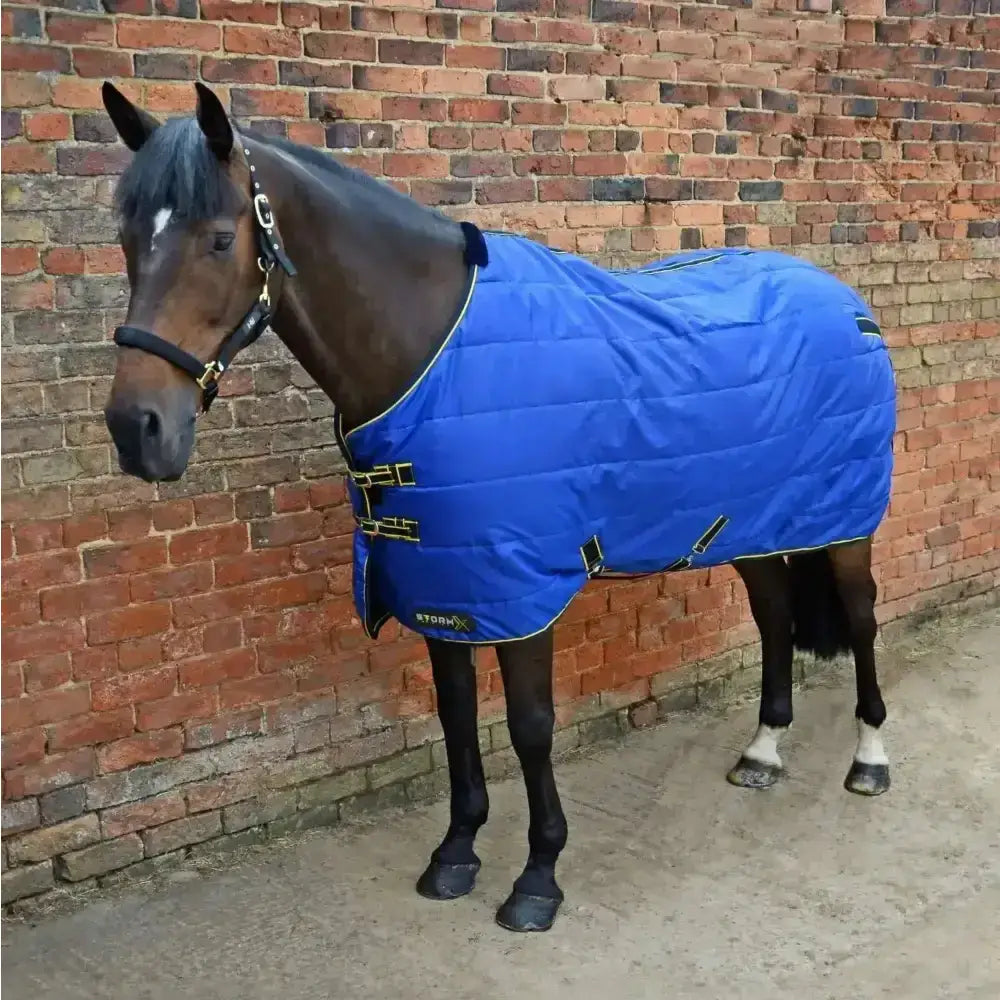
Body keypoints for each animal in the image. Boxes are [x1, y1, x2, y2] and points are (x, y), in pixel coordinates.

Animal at [100, 82, 896, 933]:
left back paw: (869, 761)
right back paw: (762, 753)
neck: (432, 357)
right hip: (751, 523)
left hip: (846, 527)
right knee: (775, 613)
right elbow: (456, 718)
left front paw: (538, 878)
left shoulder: (521, 590)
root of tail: (843, 300)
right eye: (126, 236)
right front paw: (456, 853)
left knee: (862, 620)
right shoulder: (440, 584)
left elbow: (530, 727)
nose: (138, 429)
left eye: (220, 239)